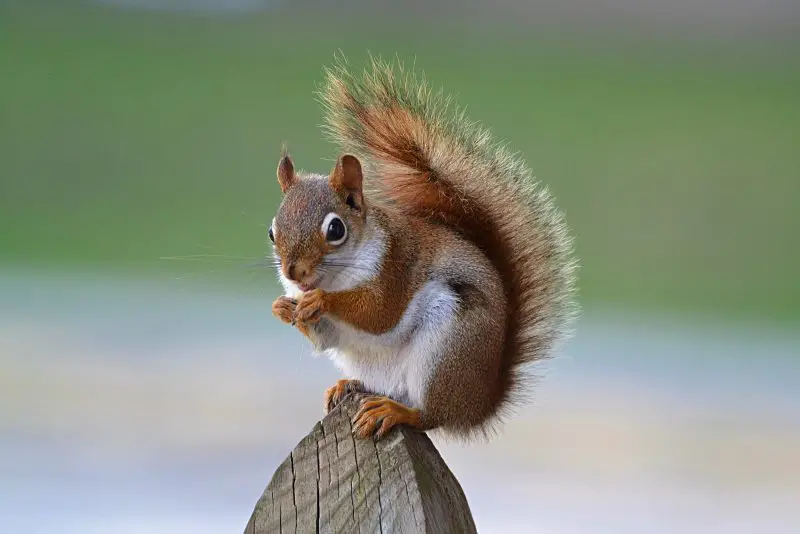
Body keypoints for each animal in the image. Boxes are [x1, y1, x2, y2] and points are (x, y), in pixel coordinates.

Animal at [269, 59, 578, 441]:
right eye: (271, 232)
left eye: (335, 229)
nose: (293, 272)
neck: (336, 276)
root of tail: (480, 404)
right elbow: (325, 338)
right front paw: (283, 307)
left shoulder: (397, 265)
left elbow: (379, 312)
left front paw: (321, 301)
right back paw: (347, 386)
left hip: (448, 348)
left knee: (430, 415)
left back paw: (396, 411)